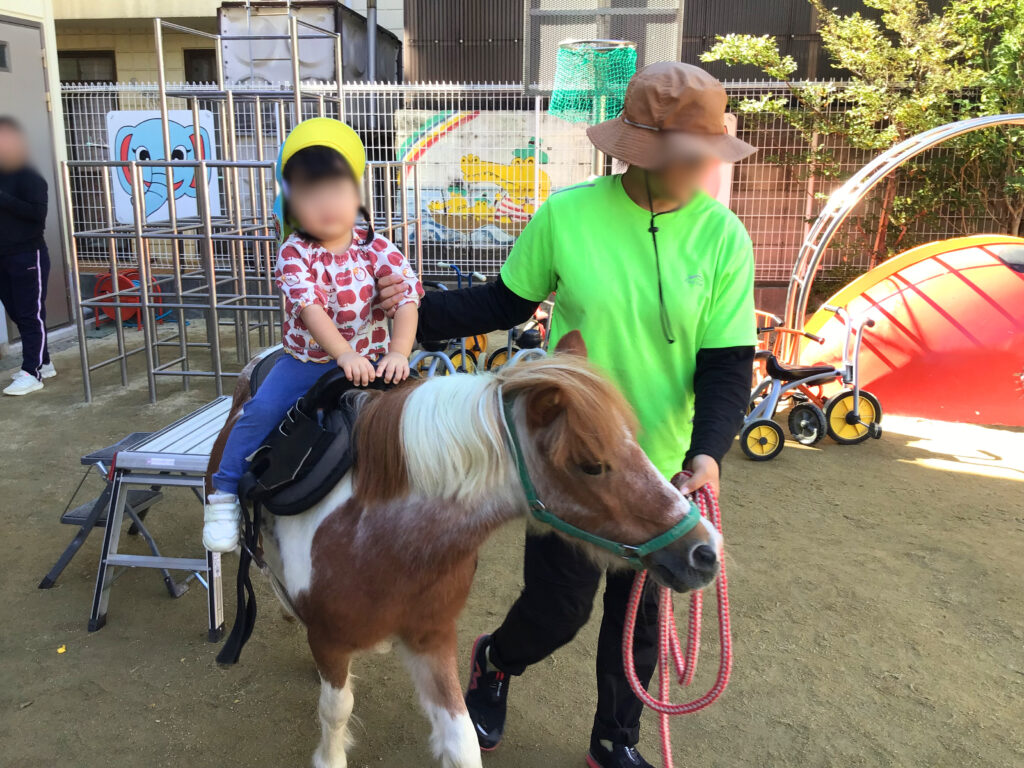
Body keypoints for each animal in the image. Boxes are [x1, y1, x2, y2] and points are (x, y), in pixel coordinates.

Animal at [205, 335, 720, 768]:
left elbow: (462, 742)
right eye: (591, 464)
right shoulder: (332, 641)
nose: (704, 552)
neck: (382, 538)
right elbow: (337, 711)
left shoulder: (432, 639)